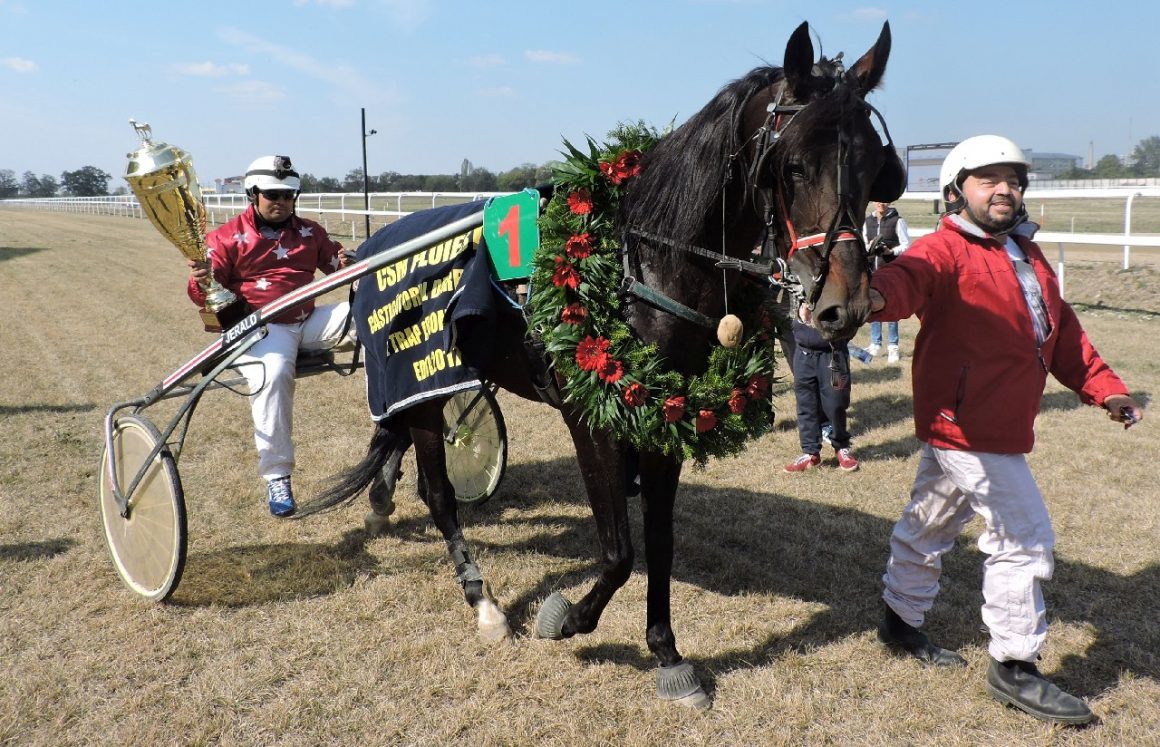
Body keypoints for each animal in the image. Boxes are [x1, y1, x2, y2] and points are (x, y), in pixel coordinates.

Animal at [310, 18, 904, 705]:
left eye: (877, 166)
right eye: (795, 165)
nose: (846, 304)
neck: (644, 264)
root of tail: (374, 244)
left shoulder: (673, 412)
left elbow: (659, 540)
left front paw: (667, 651)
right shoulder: (592, 417)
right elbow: (618, 550)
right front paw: (567, 617)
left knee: (400, 436)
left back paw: (385, 496)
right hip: (425, 379)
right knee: (437, 491)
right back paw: (482, 600)